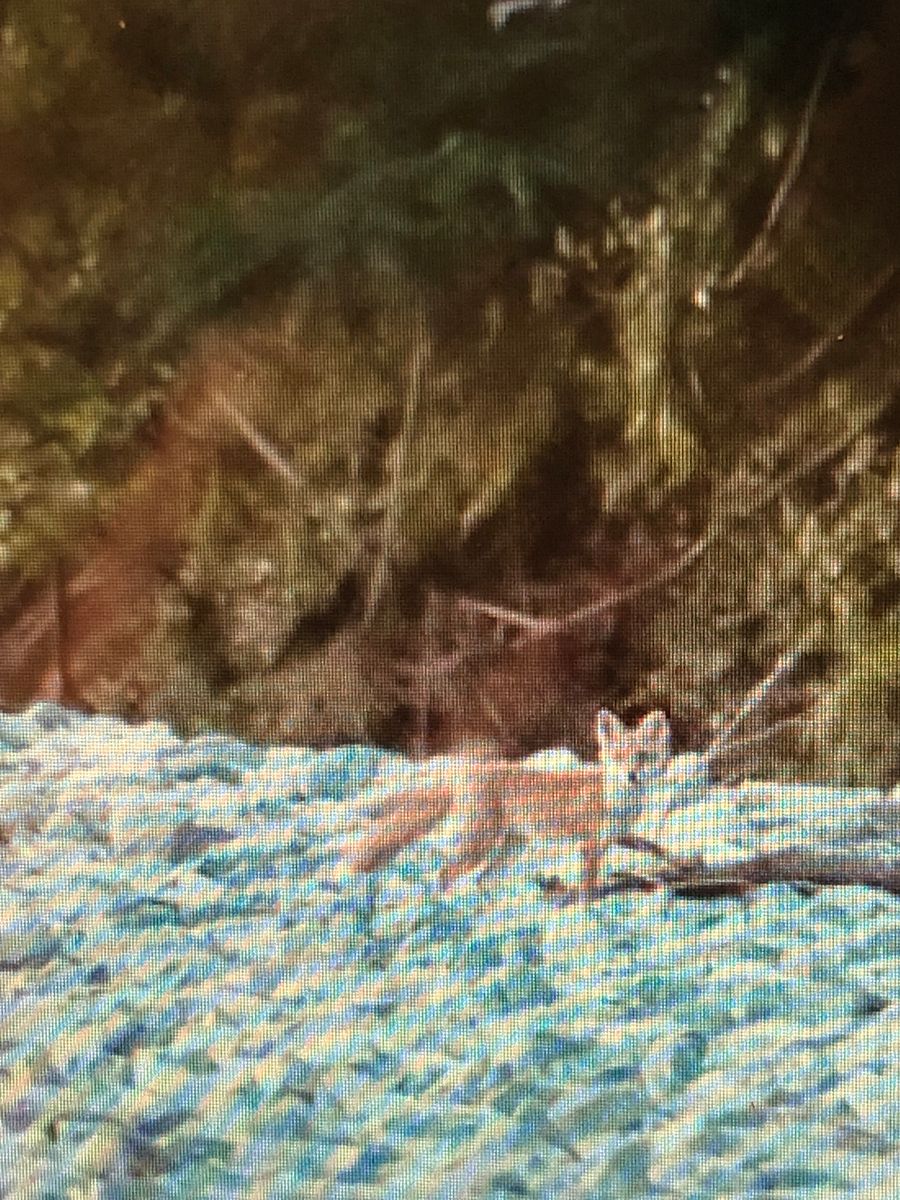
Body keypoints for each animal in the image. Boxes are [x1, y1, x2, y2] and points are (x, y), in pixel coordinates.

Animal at [343, 705, 676, 897]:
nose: (630, 776)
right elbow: (589, 886)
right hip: (480, 844)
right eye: (617, 757)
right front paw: (587, 908)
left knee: (481, 879)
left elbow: (652, 845)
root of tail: (470, 770)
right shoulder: (590, 845)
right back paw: (448, 907)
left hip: (509, 848)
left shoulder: (616, 836)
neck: (618, 802)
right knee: (445, 873)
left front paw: (672, 858)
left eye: (642, 756)